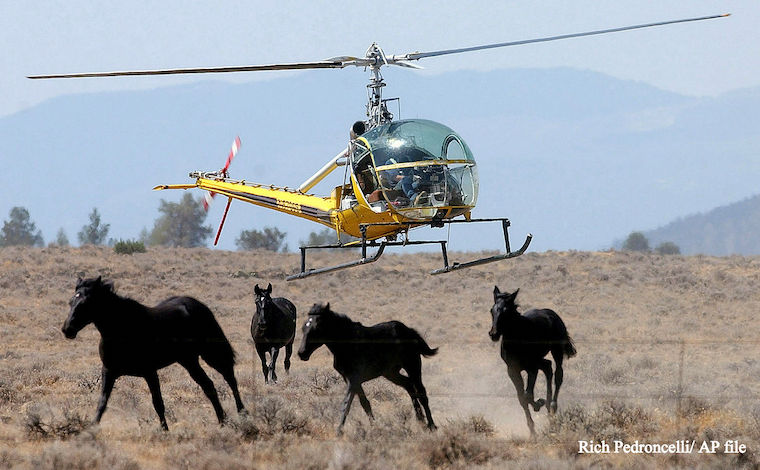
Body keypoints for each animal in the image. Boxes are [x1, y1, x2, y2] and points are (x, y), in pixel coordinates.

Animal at [61, 276, 246, 431]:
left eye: (86, 303)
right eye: (71, 301)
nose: (67, 329)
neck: (122, 329)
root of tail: (197, 304)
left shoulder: (149, 372)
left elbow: (158, 403)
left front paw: (165, 431)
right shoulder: (109, 371)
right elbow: (102, 402)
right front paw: (92, 428)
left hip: (211, 354)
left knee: (230, 378)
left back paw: (242, 413)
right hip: (188, 360)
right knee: (209, 386)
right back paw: (222, 421)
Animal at [297, 303, 438, 434]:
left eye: (317, 327)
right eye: (304, 326)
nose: (301, 353)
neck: (346, 344)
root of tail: (409, 330)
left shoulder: (354, 379)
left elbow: (346, 404)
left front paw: (339, 432)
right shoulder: (350, 379)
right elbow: (364, 403)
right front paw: (374, 427)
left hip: (412, 366)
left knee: (422, 393)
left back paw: (431, 426)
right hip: (391, 372)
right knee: (409, 385)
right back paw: (420, 421)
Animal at [489, 287, 576, 435]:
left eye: (506, 311)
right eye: (492, 310)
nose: (493, 334)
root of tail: (551, 313)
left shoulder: (532, 368)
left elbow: (528, 395)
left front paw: (539, 403)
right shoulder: (512, 370)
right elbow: (522, 398)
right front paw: (532, 431)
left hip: (556, 351)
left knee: (558, 374)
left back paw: (552, 406)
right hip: (539, 359)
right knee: (548, 367)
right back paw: (548, 405)